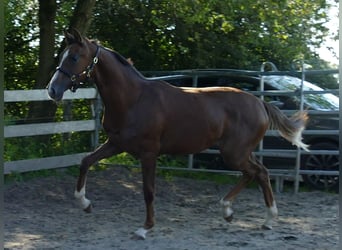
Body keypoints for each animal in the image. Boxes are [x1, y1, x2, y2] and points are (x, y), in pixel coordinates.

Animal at [46, 28, 308, 238]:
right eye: (63, 56)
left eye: (74, 57)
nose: (52, 90)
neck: (133, 99)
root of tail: (260, 103)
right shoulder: (116, 143)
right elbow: (85, 161)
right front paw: (85, 204)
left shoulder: (149, 153)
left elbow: (148, 191)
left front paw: (145, 228)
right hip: (239, 152)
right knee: (257, 173)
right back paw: (237, 213)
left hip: (234, 153)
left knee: (258, 172)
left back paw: (257, 216)